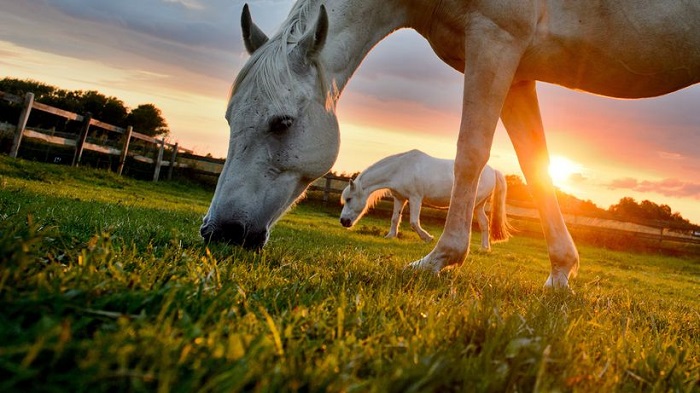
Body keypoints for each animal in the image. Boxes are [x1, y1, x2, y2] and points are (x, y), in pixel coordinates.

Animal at [340, 149, 508, 250]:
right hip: (478, 206)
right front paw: (390, 236)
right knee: (485, 223)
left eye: (349, 199)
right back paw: (485, 248)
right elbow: (395, 218)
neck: (401, 168)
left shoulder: (415, 198)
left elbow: (414, 222)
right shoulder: (400, 198)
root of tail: (493, 171)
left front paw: (427, 238)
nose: (343, 221)